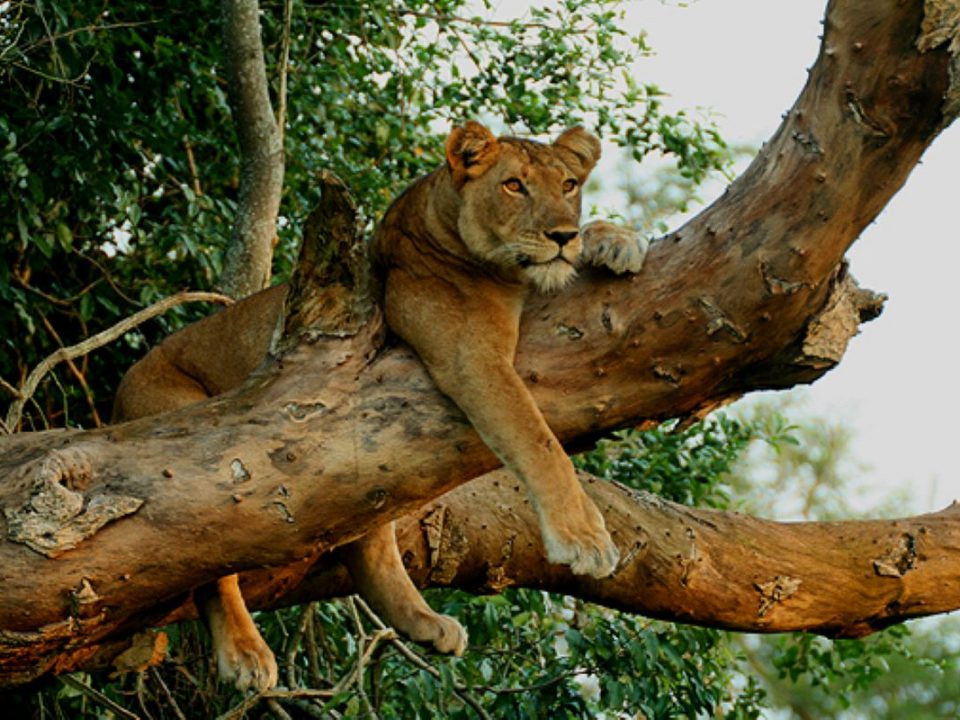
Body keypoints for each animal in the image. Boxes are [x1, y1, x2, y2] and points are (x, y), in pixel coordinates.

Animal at [111, 121, 647, 692]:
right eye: (513, 186)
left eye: (568, 185)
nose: (562, 236)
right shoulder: (471, 358)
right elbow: (537, 440)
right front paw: (584, 539)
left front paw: (614, 239)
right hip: (200, 448)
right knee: (211, 562)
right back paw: (244, 651)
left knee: (367, 543)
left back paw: (425, 623)